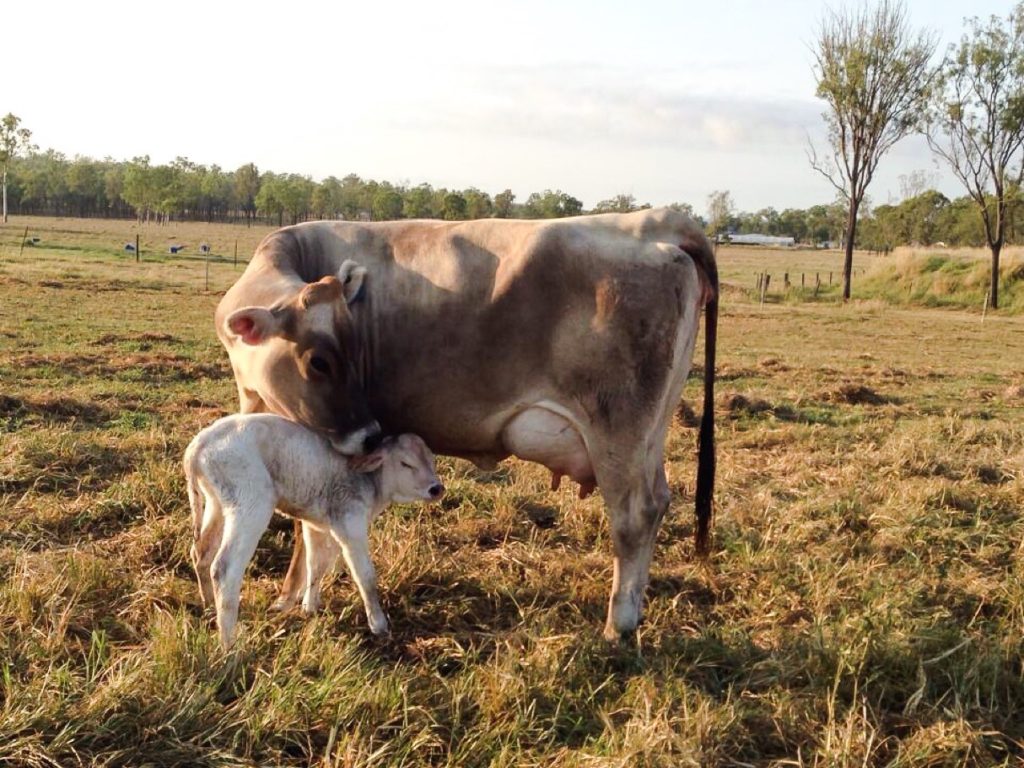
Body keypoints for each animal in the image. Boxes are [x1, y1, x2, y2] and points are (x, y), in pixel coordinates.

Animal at [184, 415, 444, 651]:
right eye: (405, 463)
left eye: (431, 459)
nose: (436, 488)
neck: (370, 481)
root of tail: (199, 444)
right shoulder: (351, 525)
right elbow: (365, 577)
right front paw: (379, 625)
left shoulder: (318, 526)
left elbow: (316, 564)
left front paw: (310, 607)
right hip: (251, 504)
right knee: (224, 569)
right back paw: (230, 644)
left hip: (216, 503)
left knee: (201, 553)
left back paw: (209, 608)